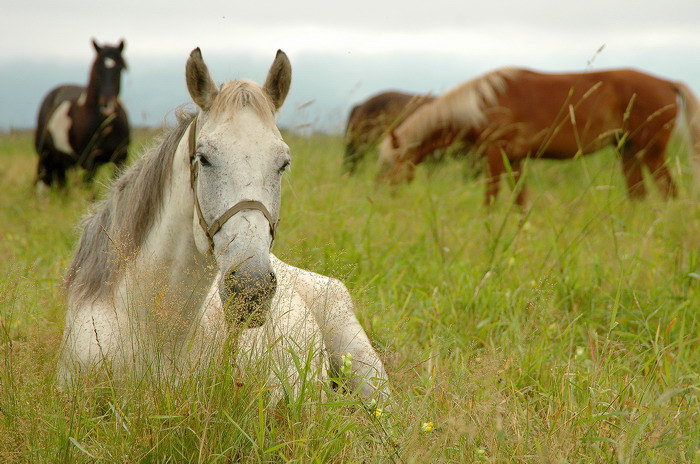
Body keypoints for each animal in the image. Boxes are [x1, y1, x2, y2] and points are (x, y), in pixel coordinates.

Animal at [34, 39, 130, 188]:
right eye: (97, 69)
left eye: (119, 69)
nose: (107, 104)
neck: (105, 125)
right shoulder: (89, 163)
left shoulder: (120, 158)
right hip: (48, 157)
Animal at [380, 66, 700, 203]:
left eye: (390, 162)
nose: (386, 193)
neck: (480, 106)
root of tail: (666, 82)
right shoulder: (514, 159)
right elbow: (519, 200)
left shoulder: (494, 156)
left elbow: (490, 199)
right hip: (627, 150)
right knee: (638, 194)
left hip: (649, 151)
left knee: (668, 191)